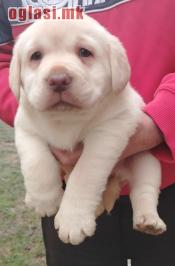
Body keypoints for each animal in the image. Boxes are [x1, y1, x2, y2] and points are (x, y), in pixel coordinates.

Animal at [9, 13, 167, 244]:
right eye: (35, 56)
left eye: (84, 52)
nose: (58, 79)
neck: (66, 118)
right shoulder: (25, 127)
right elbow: (36, 162)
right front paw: (44, 199)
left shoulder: (109, 130)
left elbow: (84, 175)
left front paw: (73, 221)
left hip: (146, 160)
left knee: (144, 189)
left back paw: (149, 221)